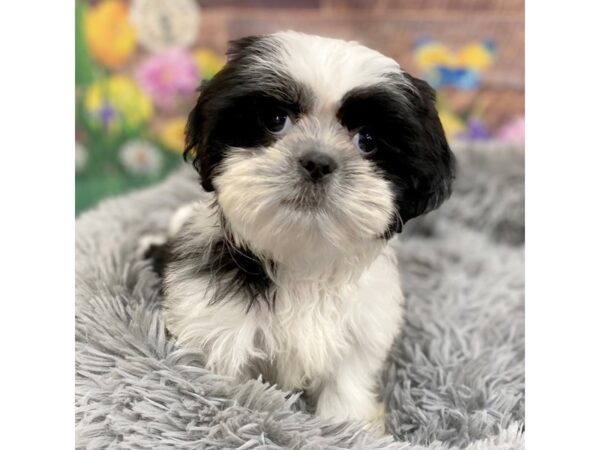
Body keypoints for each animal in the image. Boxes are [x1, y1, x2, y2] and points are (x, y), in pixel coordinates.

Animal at [146, 32, 454, 428]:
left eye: (367, 140)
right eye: (275, 120)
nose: (317, 162)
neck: (304, 259)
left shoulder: (359, 339)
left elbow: (345, 391)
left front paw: (350, 428)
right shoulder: (215, 329)